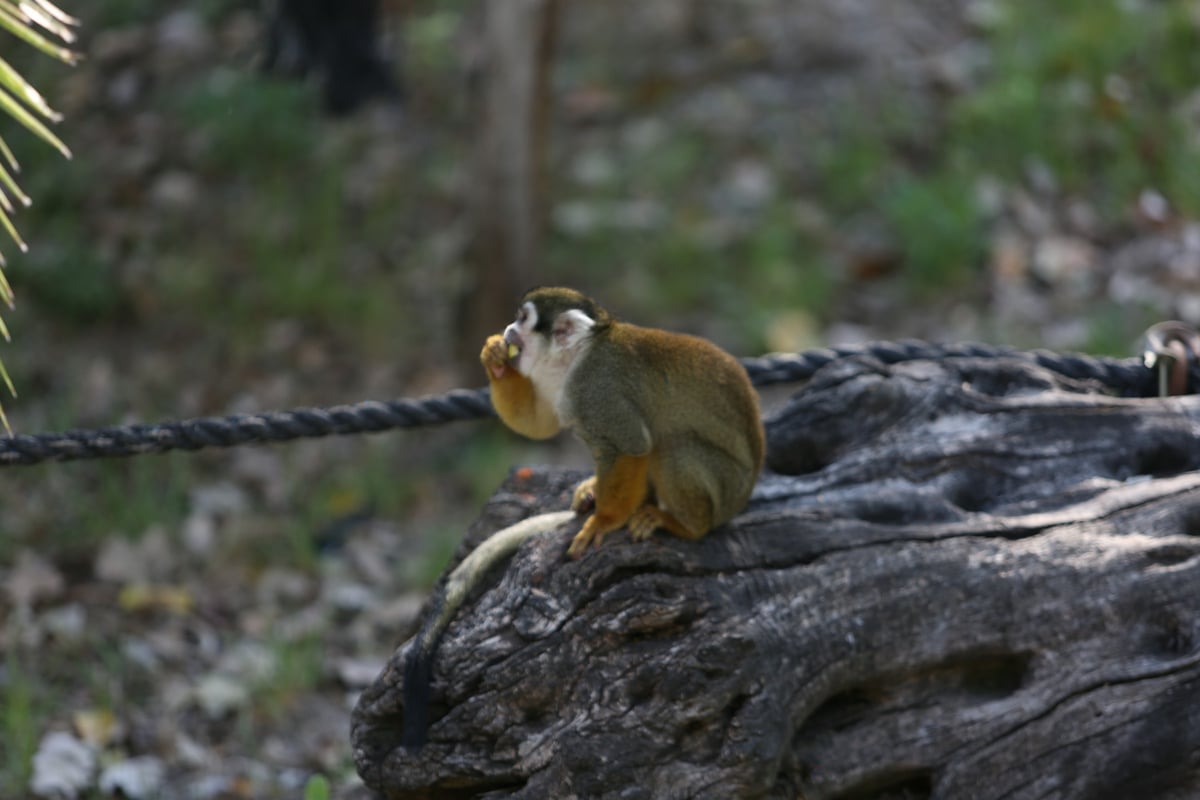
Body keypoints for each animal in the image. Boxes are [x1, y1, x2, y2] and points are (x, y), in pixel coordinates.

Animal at [400, 287, 758, 743]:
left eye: (523, 318)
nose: (508, 330)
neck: (575, 360)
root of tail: (745, 492)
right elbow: (539, 423)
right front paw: (494, 359)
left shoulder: (596, 390)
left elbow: (632, 446)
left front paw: (605, 520)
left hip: (724, 489)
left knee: (672, 446)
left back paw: (681, 523)